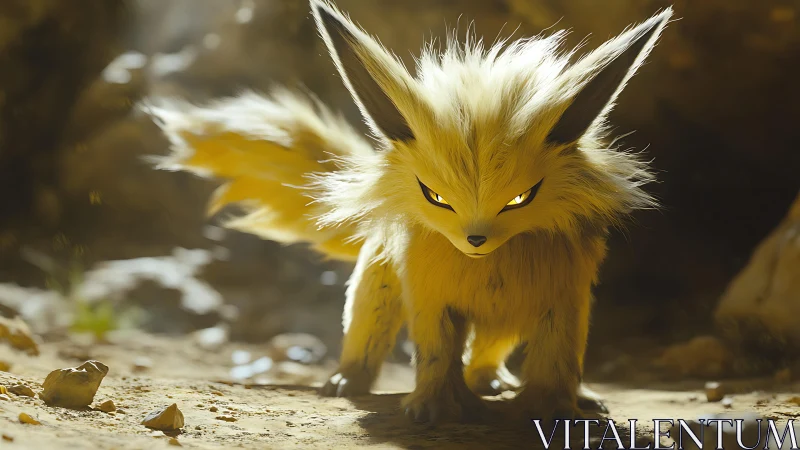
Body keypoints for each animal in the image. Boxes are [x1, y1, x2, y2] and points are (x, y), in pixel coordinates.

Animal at [143, 0, 673, 424]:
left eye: (521, 199)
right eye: (436, 197)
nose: (475, 239)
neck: (487, 269)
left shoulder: (563, 300)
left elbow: (558, 361)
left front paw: (552, 409)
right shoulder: (431, 300)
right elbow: (435, 355)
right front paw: (433, 408)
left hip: (509, 319)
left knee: (488, 354)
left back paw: (509, 386)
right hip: (377, 290)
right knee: (367, 337)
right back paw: (347, 381)